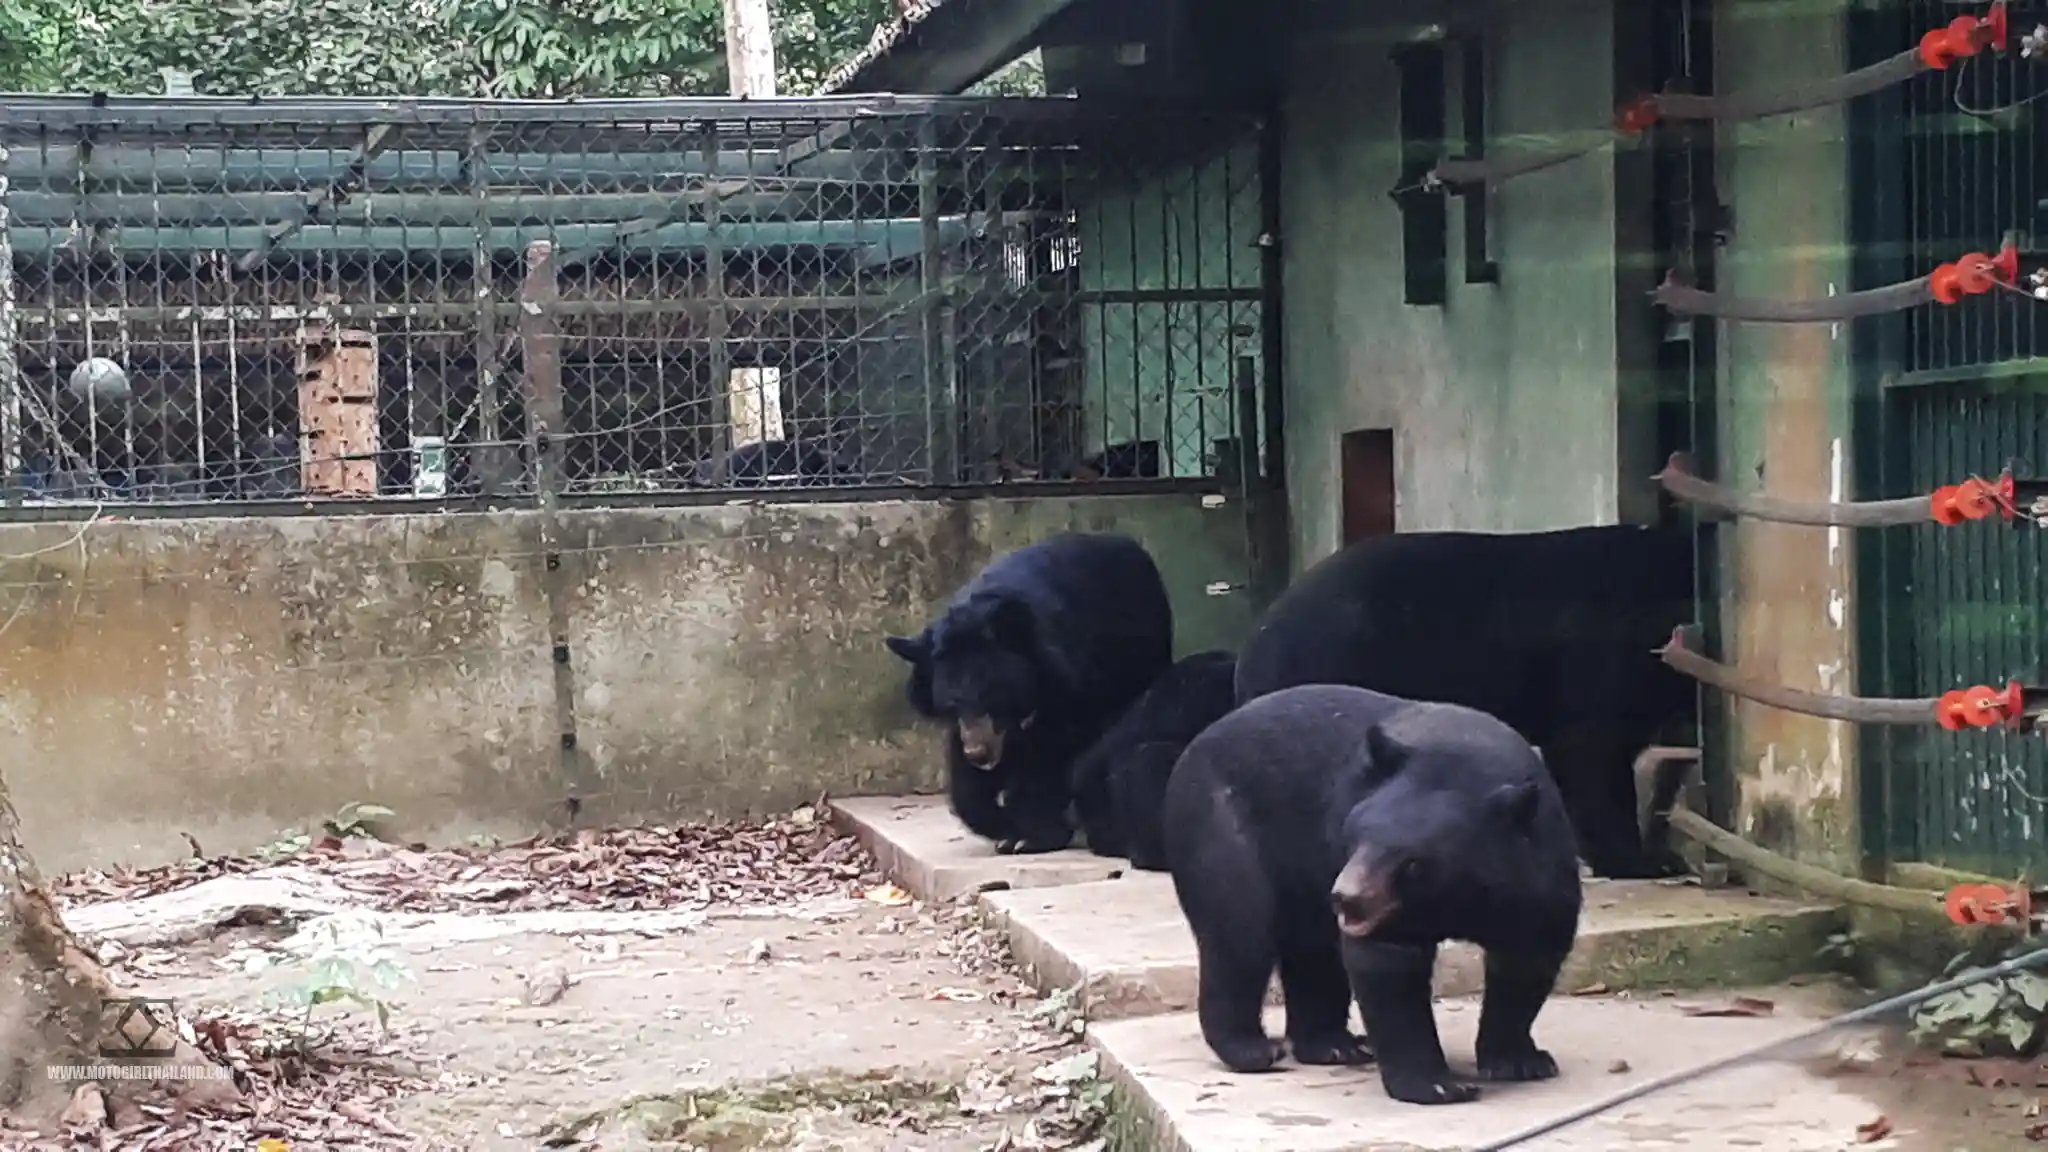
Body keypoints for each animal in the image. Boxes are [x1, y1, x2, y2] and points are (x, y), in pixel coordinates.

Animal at [885, 533, 1175, 854]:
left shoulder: (1069, 685)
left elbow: (1049, 759)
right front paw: (1000, 825)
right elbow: (966, 778)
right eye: (950, 705)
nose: (979, 754)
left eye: (991, 695)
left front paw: (1033, 835)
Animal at [1162, 684, 1583, 1106]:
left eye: (1412, 862)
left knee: (1312, 951)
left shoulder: (1539, 876)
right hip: (1222, 824)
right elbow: (1389, 963)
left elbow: (1528, 959)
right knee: (1241, 934)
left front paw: (1522, 1062)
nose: (1347, 897)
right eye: (1356, 835)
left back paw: (1336, 1045)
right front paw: (1439, 1085)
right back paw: (1255, 1050)